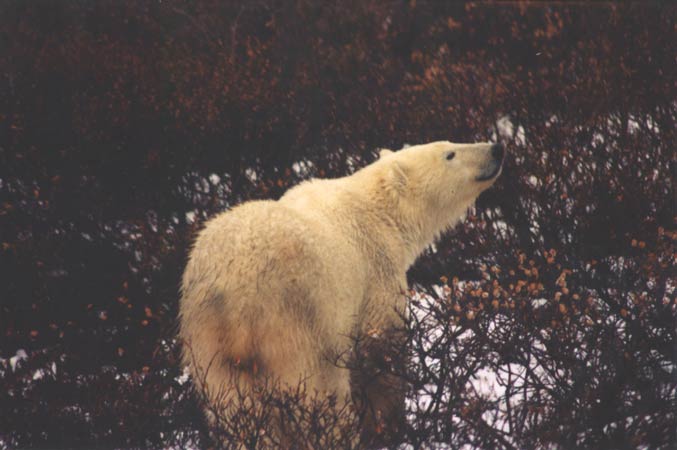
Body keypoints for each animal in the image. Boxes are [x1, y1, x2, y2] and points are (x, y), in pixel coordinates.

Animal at [177, 142, 504, 444]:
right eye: (449, 153)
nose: (496, 148)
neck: (376, 208)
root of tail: (233, 296)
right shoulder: (375, 272)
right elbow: (381, 348)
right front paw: (389, 427)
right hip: (297, 323)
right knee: (320, 396)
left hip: (208, 348)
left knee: (234, 413)